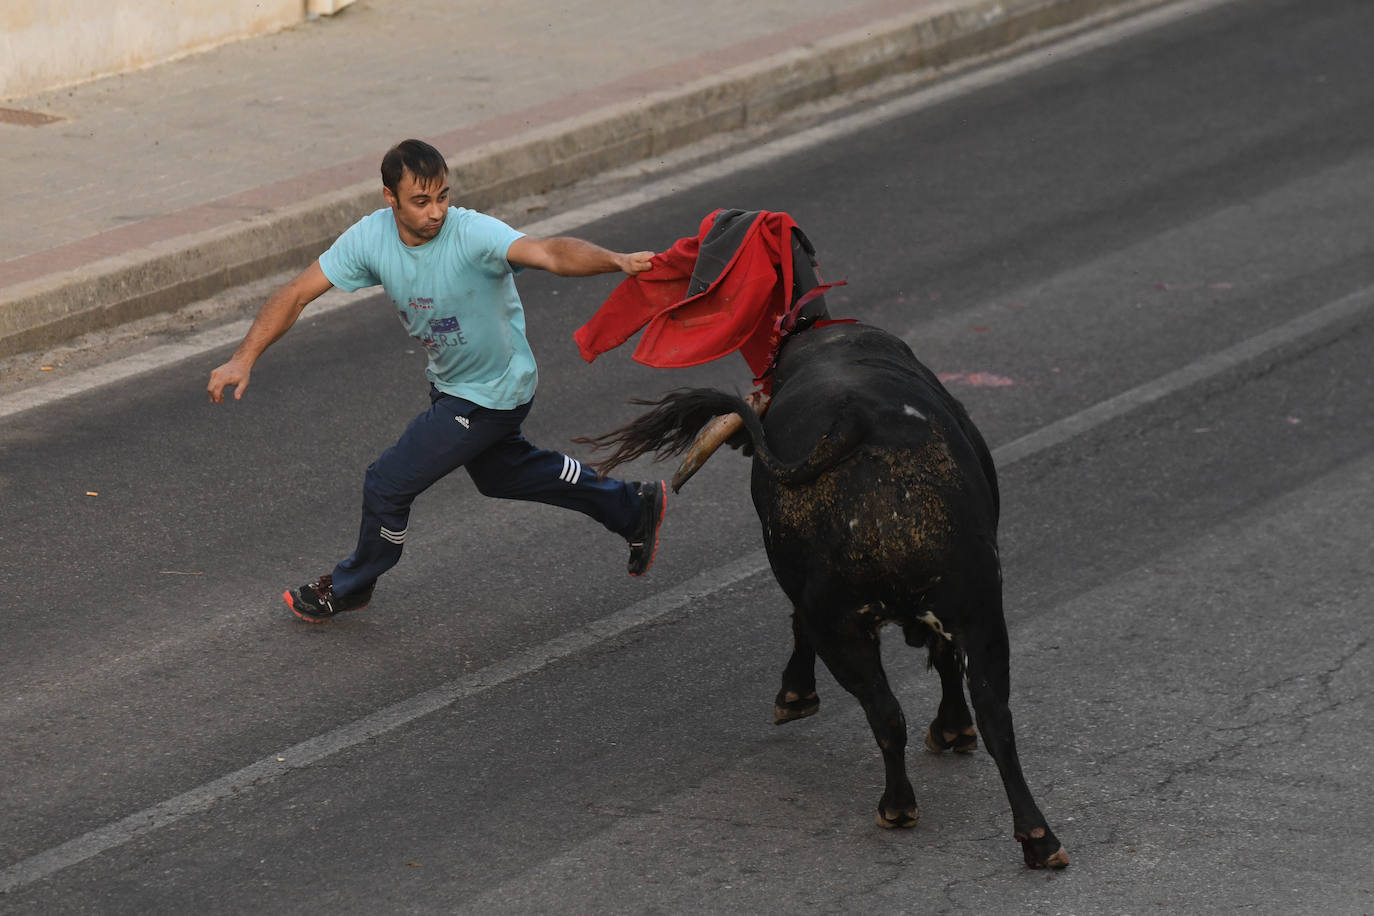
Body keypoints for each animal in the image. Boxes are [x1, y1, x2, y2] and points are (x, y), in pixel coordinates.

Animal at [585, 321, 1066, 867]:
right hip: (979, 614)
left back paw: (898, 807)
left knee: (885, 710)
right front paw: (951, 729)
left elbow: (805, 633)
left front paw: (795, 696)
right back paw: (1038, 838)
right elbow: (946, 669)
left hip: (845, 624)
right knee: (994, 716)